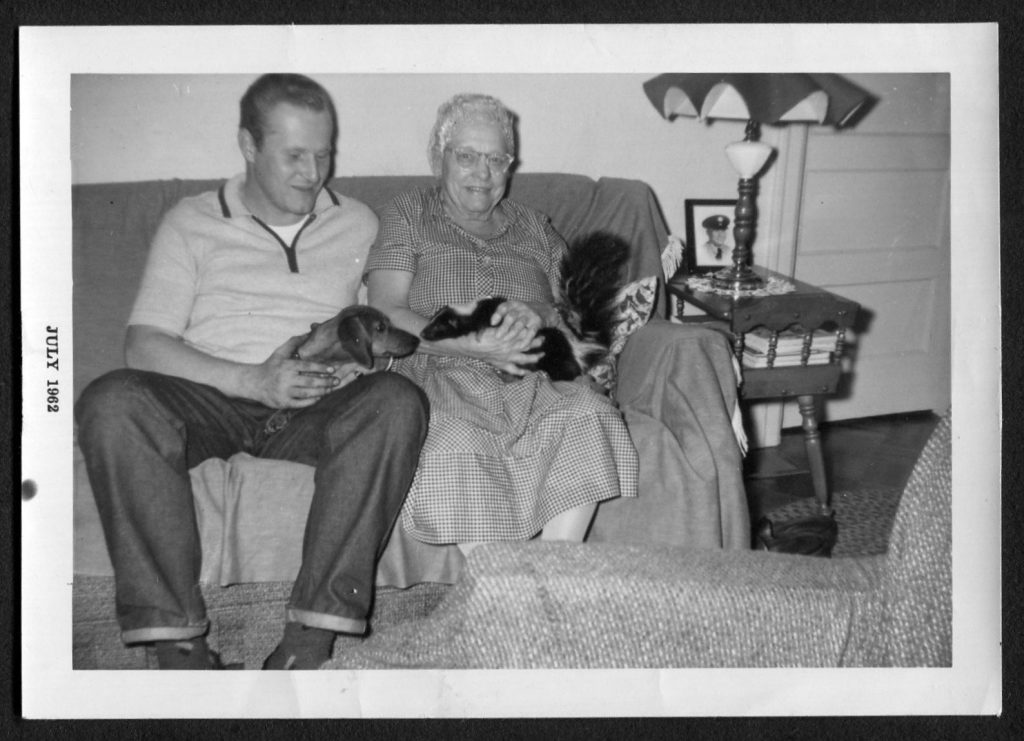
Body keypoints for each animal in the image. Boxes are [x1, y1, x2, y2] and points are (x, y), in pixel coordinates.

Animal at [417, 231, 630, 382]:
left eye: (439, 327)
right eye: (431, 322)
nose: (422, 333)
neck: (476, 309)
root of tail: (578, 347)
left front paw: (479, 334)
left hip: (554, 358)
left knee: (567, 371)